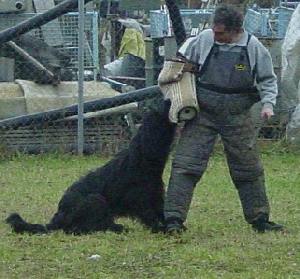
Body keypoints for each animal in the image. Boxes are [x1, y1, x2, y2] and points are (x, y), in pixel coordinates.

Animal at [5, 100, 176, 234]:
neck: (142, 159)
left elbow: (160, 212)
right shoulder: (139, 200)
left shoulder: (155, 197)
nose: (168, 100)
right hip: (96, 199)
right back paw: (116, 228)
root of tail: (58, 217)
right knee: (78, 229)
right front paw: (160, 229)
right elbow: (149, 216)